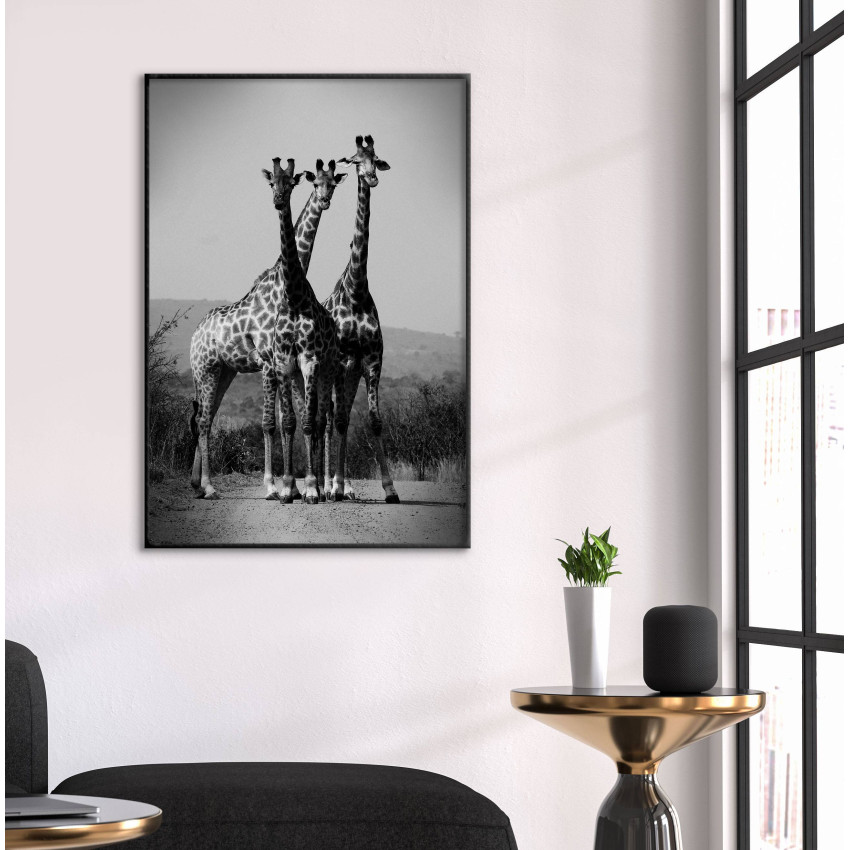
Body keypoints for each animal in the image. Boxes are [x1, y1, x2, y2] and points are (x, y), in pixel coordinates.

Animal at [188, 160, 344, 501]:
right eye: (272, 182)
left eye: (333, 184)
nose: (325, 200)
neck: (285, 284)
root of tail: (194, 335)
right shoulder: (269, 361)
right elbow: (271, 422)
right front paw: (275, 486)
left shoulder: (284, 362)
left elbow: (289, 418)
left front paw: (295, 486)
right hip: (205, 369)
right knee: (203, 420)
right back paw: (209, 486)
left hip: (223, 371)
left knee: (206, 416)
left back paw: (196, 483)